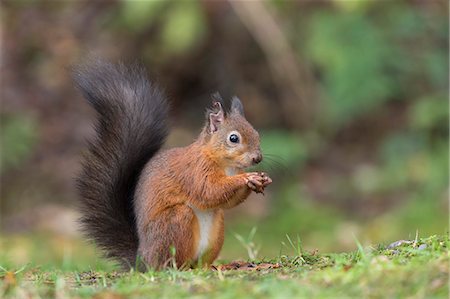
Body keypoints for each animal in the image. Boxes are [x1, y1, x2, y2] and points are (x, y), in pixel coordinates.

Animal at [73, 59, 270, 270]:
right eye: (233, 138)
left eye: (256, 133)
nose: (257, 158)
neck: (226, 165)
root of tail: (143, 260)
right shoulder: (194, 170)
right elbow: (208, 191)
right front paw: (246, 178)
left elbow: (226, 201)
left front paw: (260, 180)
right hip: (175, 222)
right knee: (172, 262)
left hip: (216, 229)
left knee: (200, 263)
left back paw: (218, 266)